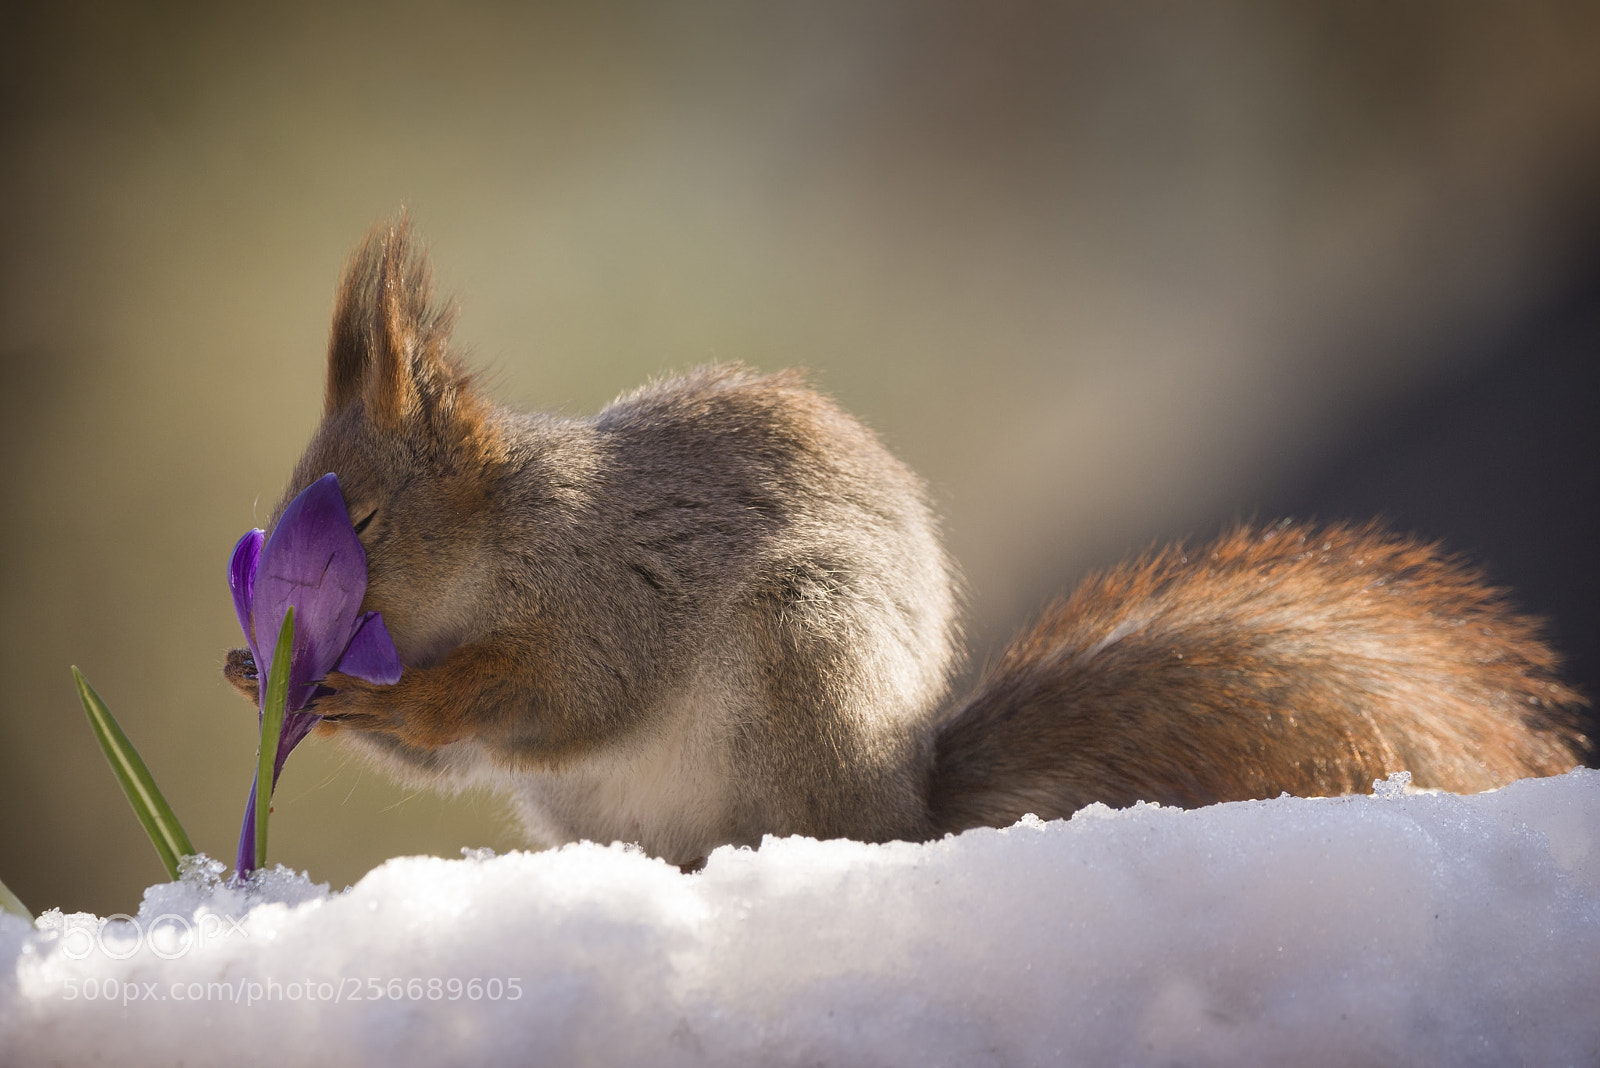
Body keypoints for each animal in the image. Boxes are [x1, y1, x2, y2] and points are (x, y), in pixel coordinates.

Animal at [224, 220, 1590, 867]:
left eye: (364, 519)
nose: (281, 628)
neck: (508, 530)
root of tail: (903, 806)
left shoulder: (611, 592)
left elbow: (554, 693)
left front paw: (381, 690)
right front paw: (263, 678)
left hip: (806, 653)